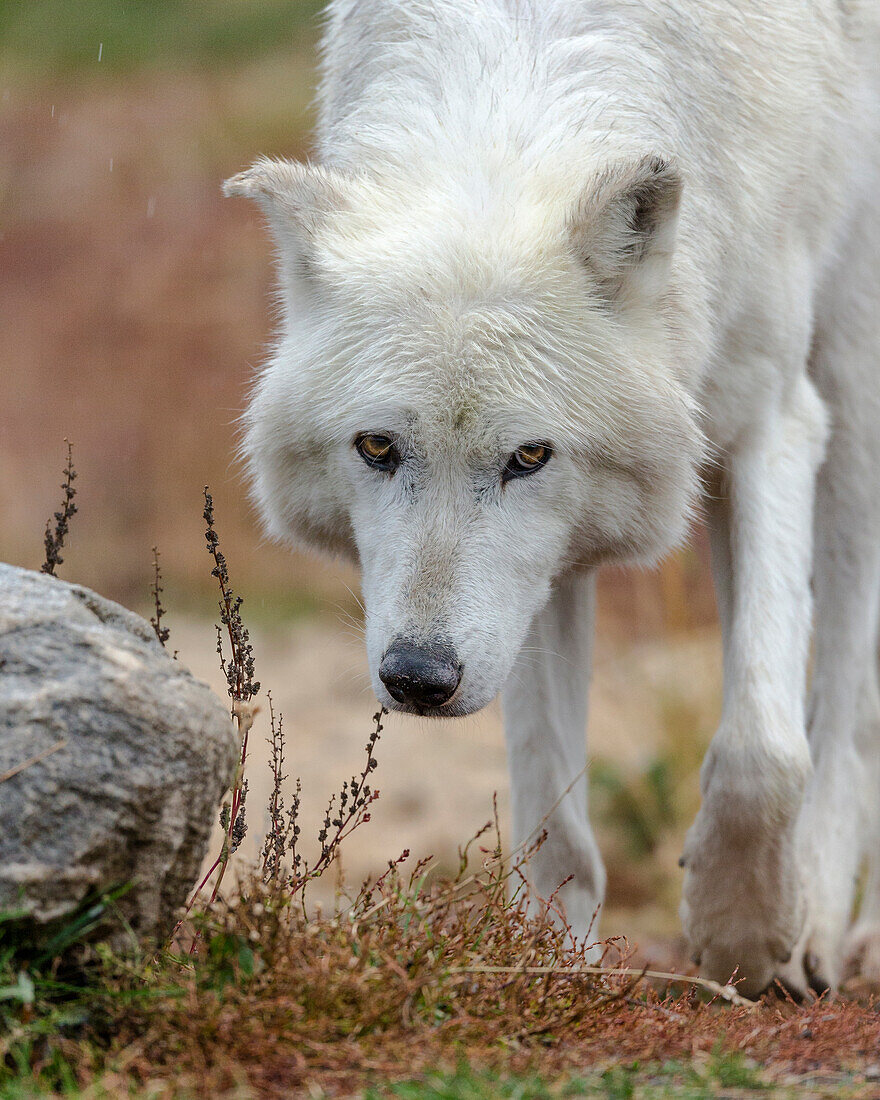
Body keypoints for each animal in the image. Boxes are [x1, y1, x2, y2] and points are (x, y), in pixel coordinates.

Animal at [225, 0, 880, 998]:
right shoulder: (534, 582)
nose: (418, 679)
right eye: (377, 448)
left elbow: (762, 751)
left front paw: (745, 934)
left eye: (528, 457)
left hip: (850, 368)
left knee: (842, 701)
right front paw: (546, 964)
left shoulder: (772, 414)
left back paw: (818, 925)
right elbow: (550, 795)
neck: (514, 69)